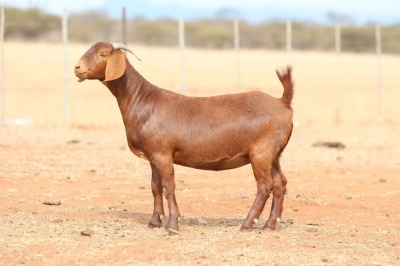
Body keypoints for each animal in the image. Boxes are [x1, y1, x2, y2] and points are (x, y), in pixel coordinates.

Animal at [74, 42, 294, 231]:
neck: (142, 100)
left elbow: (168, 186)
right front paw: (155, 221)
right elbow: (155, 187)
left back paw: (247, 223)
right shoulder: (153, 156)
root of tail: (282, 102)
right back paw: (270, 224)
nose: (77, 67)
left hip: (260, 152)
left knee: (265, 185)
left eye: (103, 54)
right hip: (274, 154)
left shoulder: (163, 154)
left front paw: (172, 224)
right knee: (280, 183)